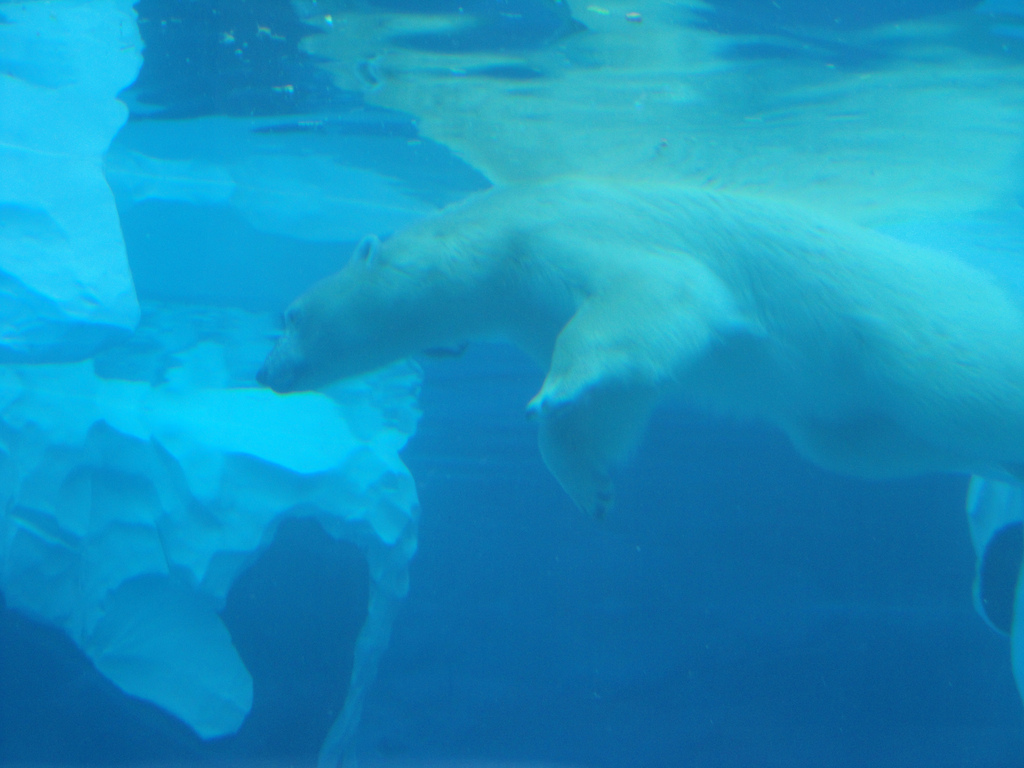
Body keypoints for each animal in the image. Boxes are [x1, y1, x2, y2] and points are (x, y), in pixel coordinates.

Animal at [258, 177, 1024, 517]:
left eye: (287, 315)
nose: (265, 372)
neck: (497, 235)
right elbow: (624, 395)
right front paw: (592, 485)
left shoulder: (568, 236)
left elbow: (656, 297)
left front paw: (550, 395)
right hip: (853, 416)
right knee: (862, 445)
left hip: (917, 340)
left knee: (964, 385)